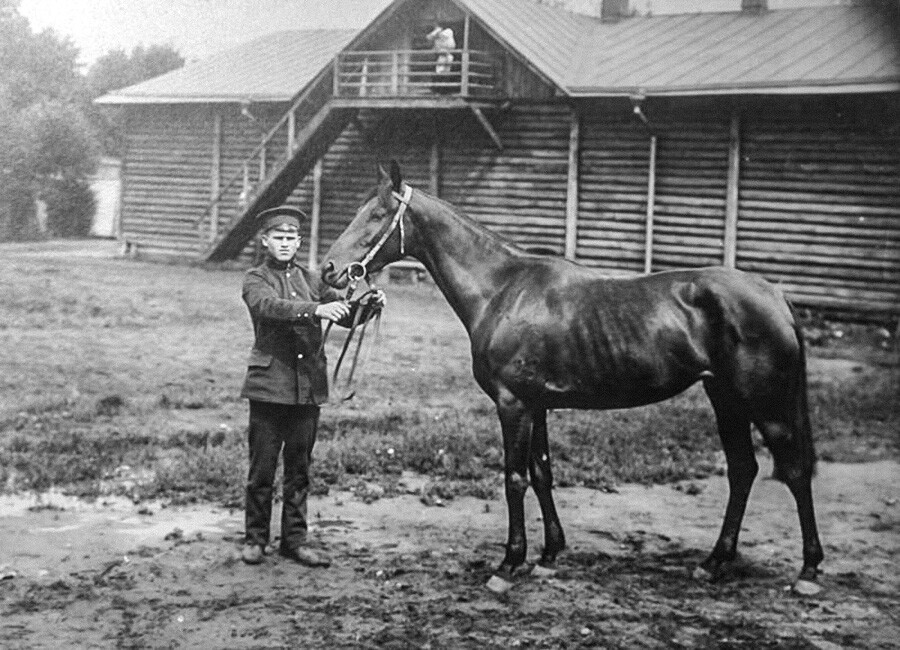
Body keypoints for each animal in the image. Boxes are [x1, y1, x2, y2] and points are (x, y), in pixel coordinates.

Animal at [322, 161, 824, 592]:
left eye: (378, 214)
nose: (329, 269)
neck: (501, 289)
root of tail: (775, 296)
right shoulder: (538, 405)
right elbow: (542, 473)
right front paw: (548, 556)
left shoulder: (514, 404)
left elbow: (514, 479)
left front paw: (509, 564)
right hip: (726, 400)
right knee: (743, 470)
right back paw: (715, 562)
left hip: (766, 406)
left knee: (795, 472)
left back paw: (808, 571)